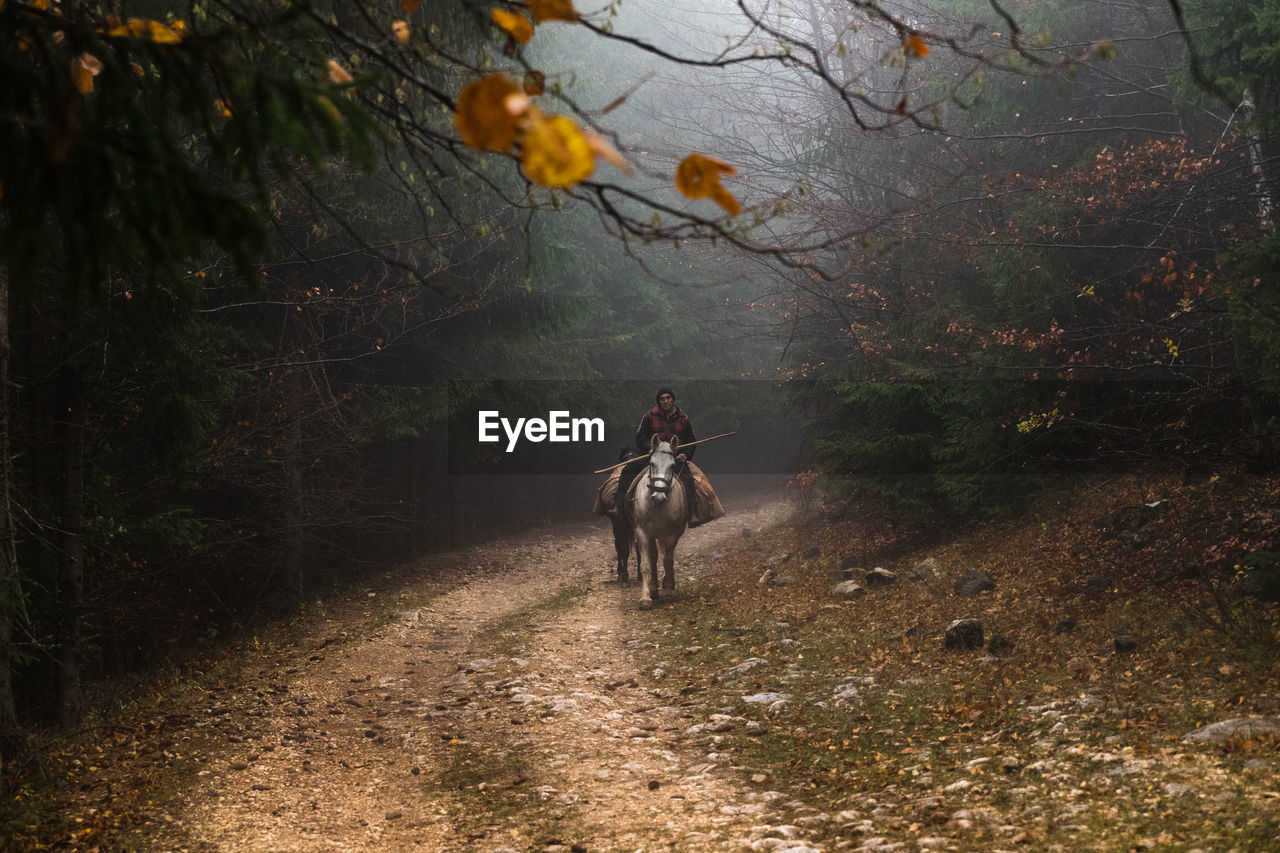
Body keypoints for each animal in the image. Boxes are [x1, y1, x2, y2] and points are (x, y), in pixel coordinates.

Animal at [632, 438, 691, 604]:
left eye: (673, 465)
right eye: (652, 463)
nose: (658, 497)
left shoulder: (671, 534)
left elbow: (668, 561)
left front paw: (669, 588)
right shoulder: (642, 533)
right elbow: (646, 564)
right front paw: (645, 597)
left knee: (666, 556)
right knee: (654, 557)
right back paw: (653, 588)